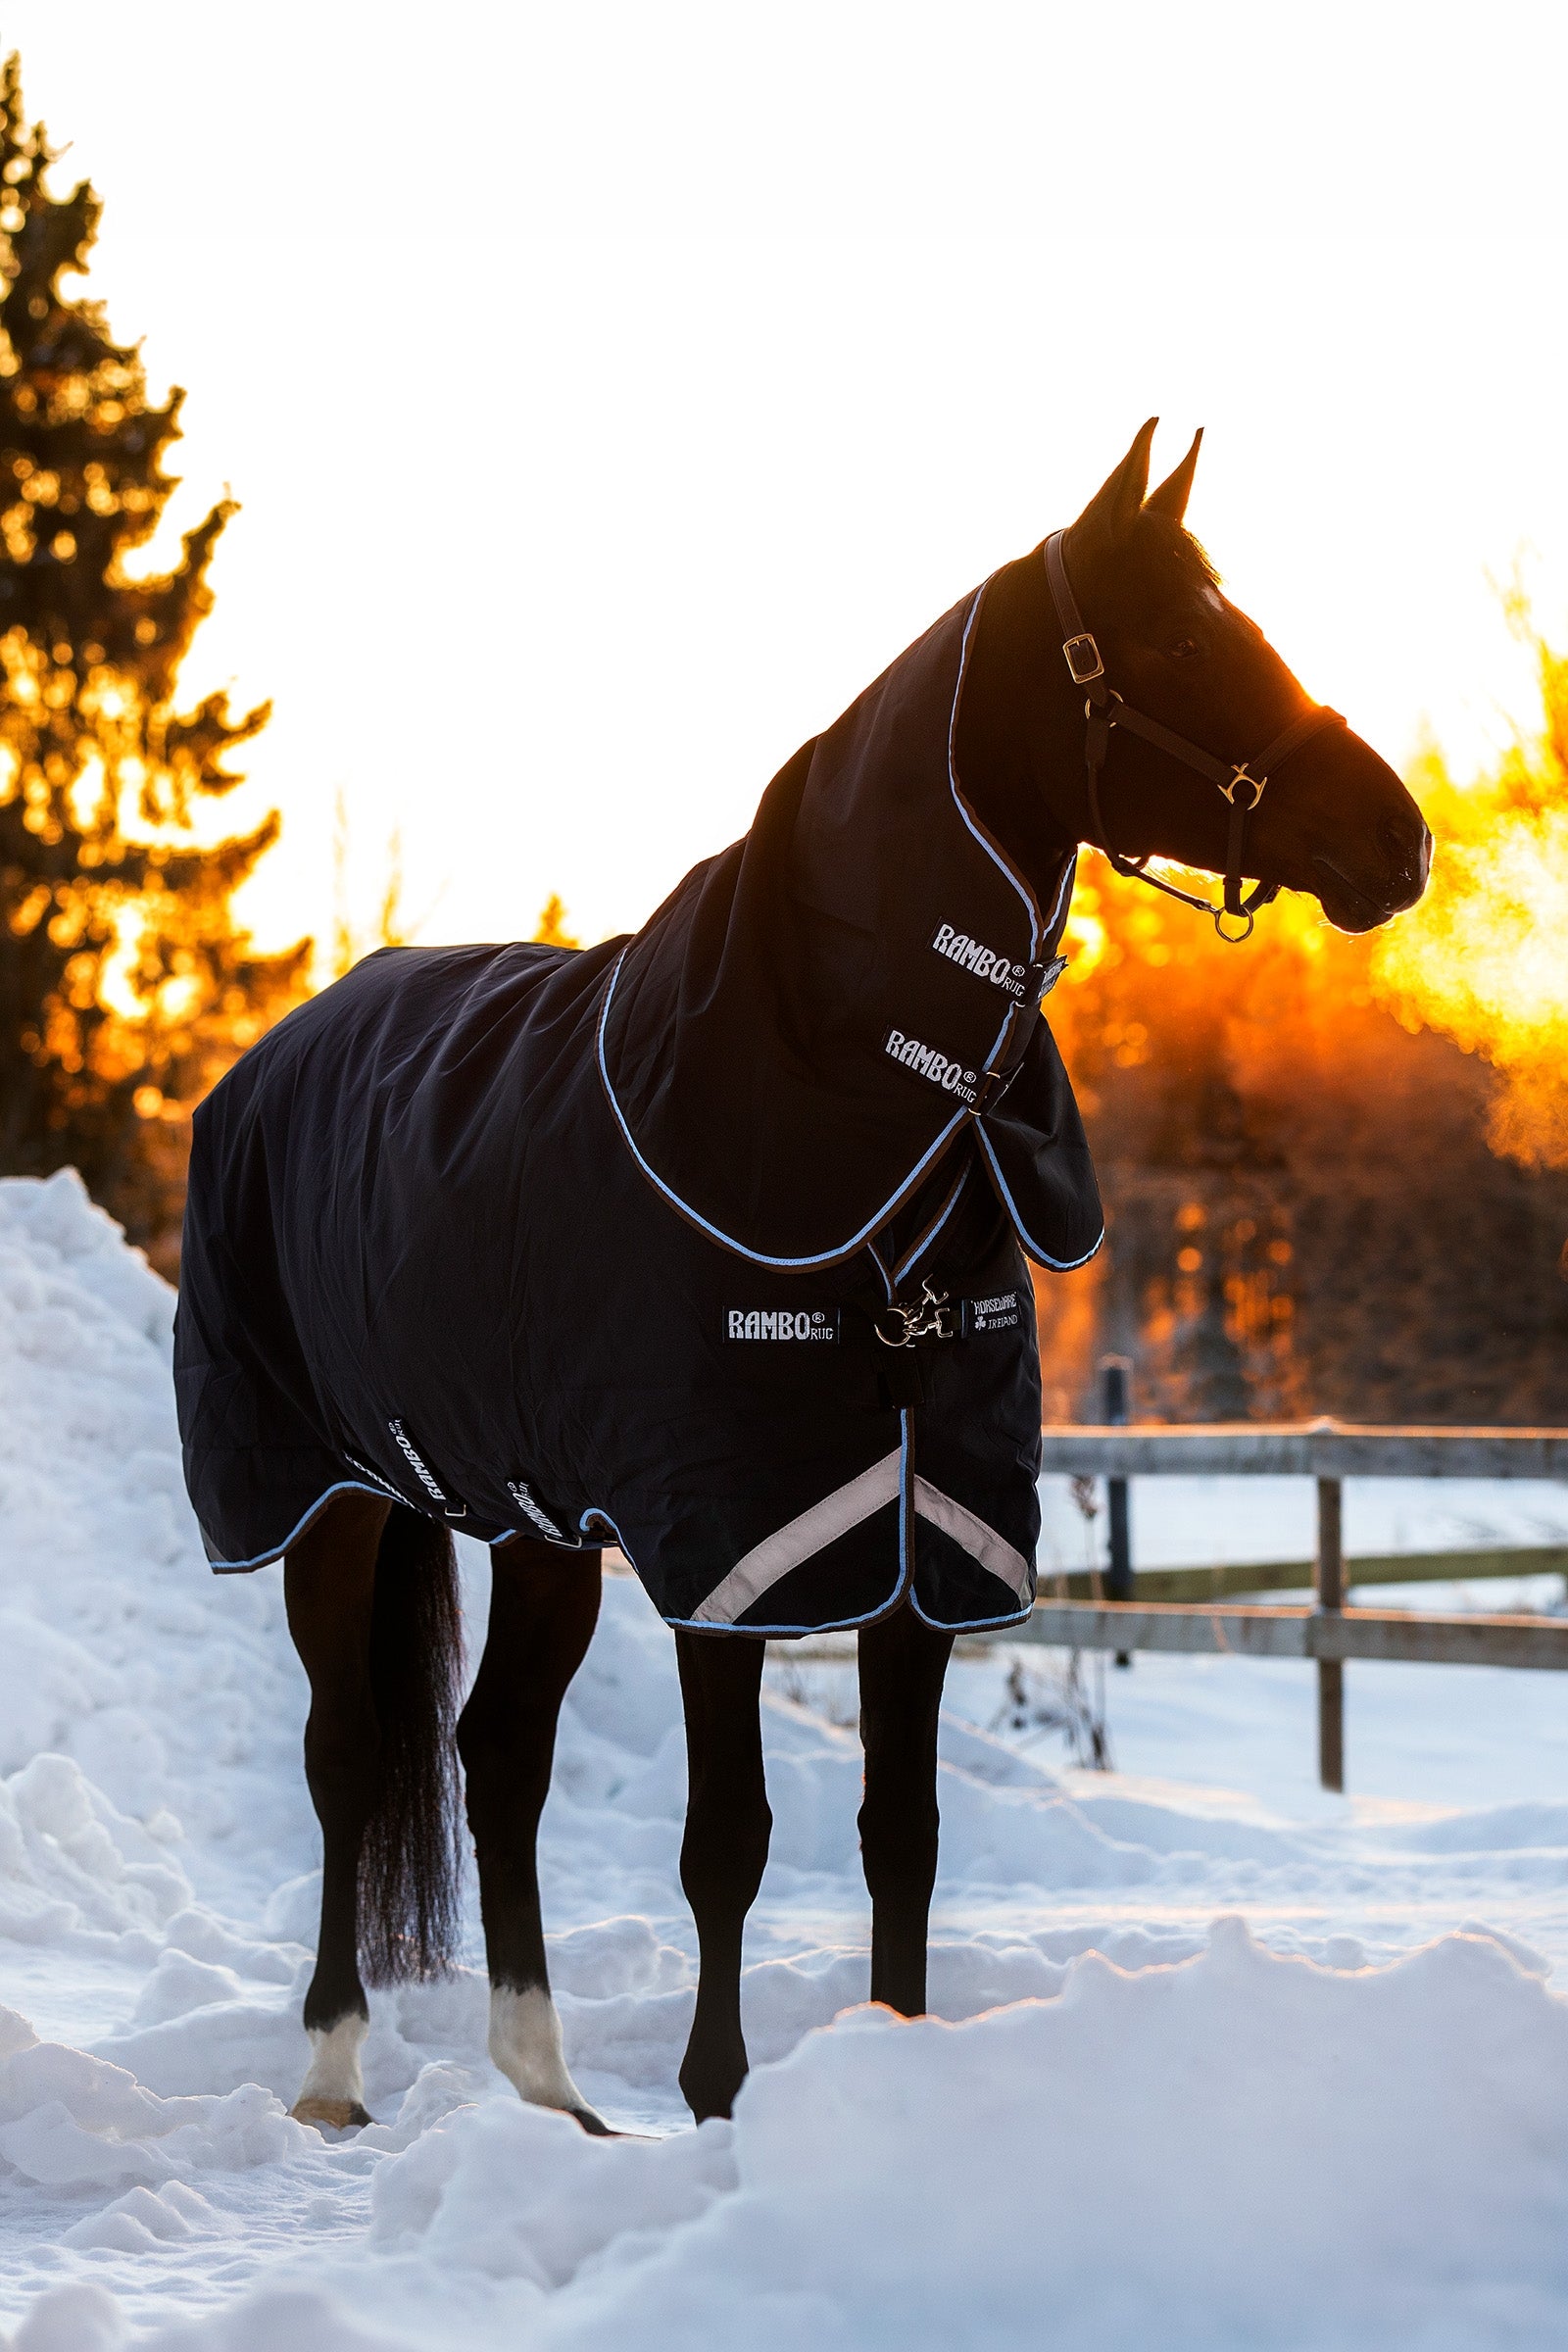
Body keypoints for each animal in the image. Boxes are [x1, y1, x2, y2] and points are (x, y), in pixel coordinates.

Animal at [175, 420, 1430, 2136]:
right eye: (1182, 639)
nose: (1401, 838)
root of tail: (280, 1052)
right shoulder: (738, 1548)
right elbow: (729, 1844)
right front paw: (719, 2105)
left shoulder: (922, 1536)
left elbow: (902, 1836)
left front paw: (890, 2069)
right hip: (331, 1497)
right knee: (353, 1753)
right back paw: (330, 2074)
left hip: (538, 1520)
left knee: (499, 1756)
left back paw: (549, 2091)